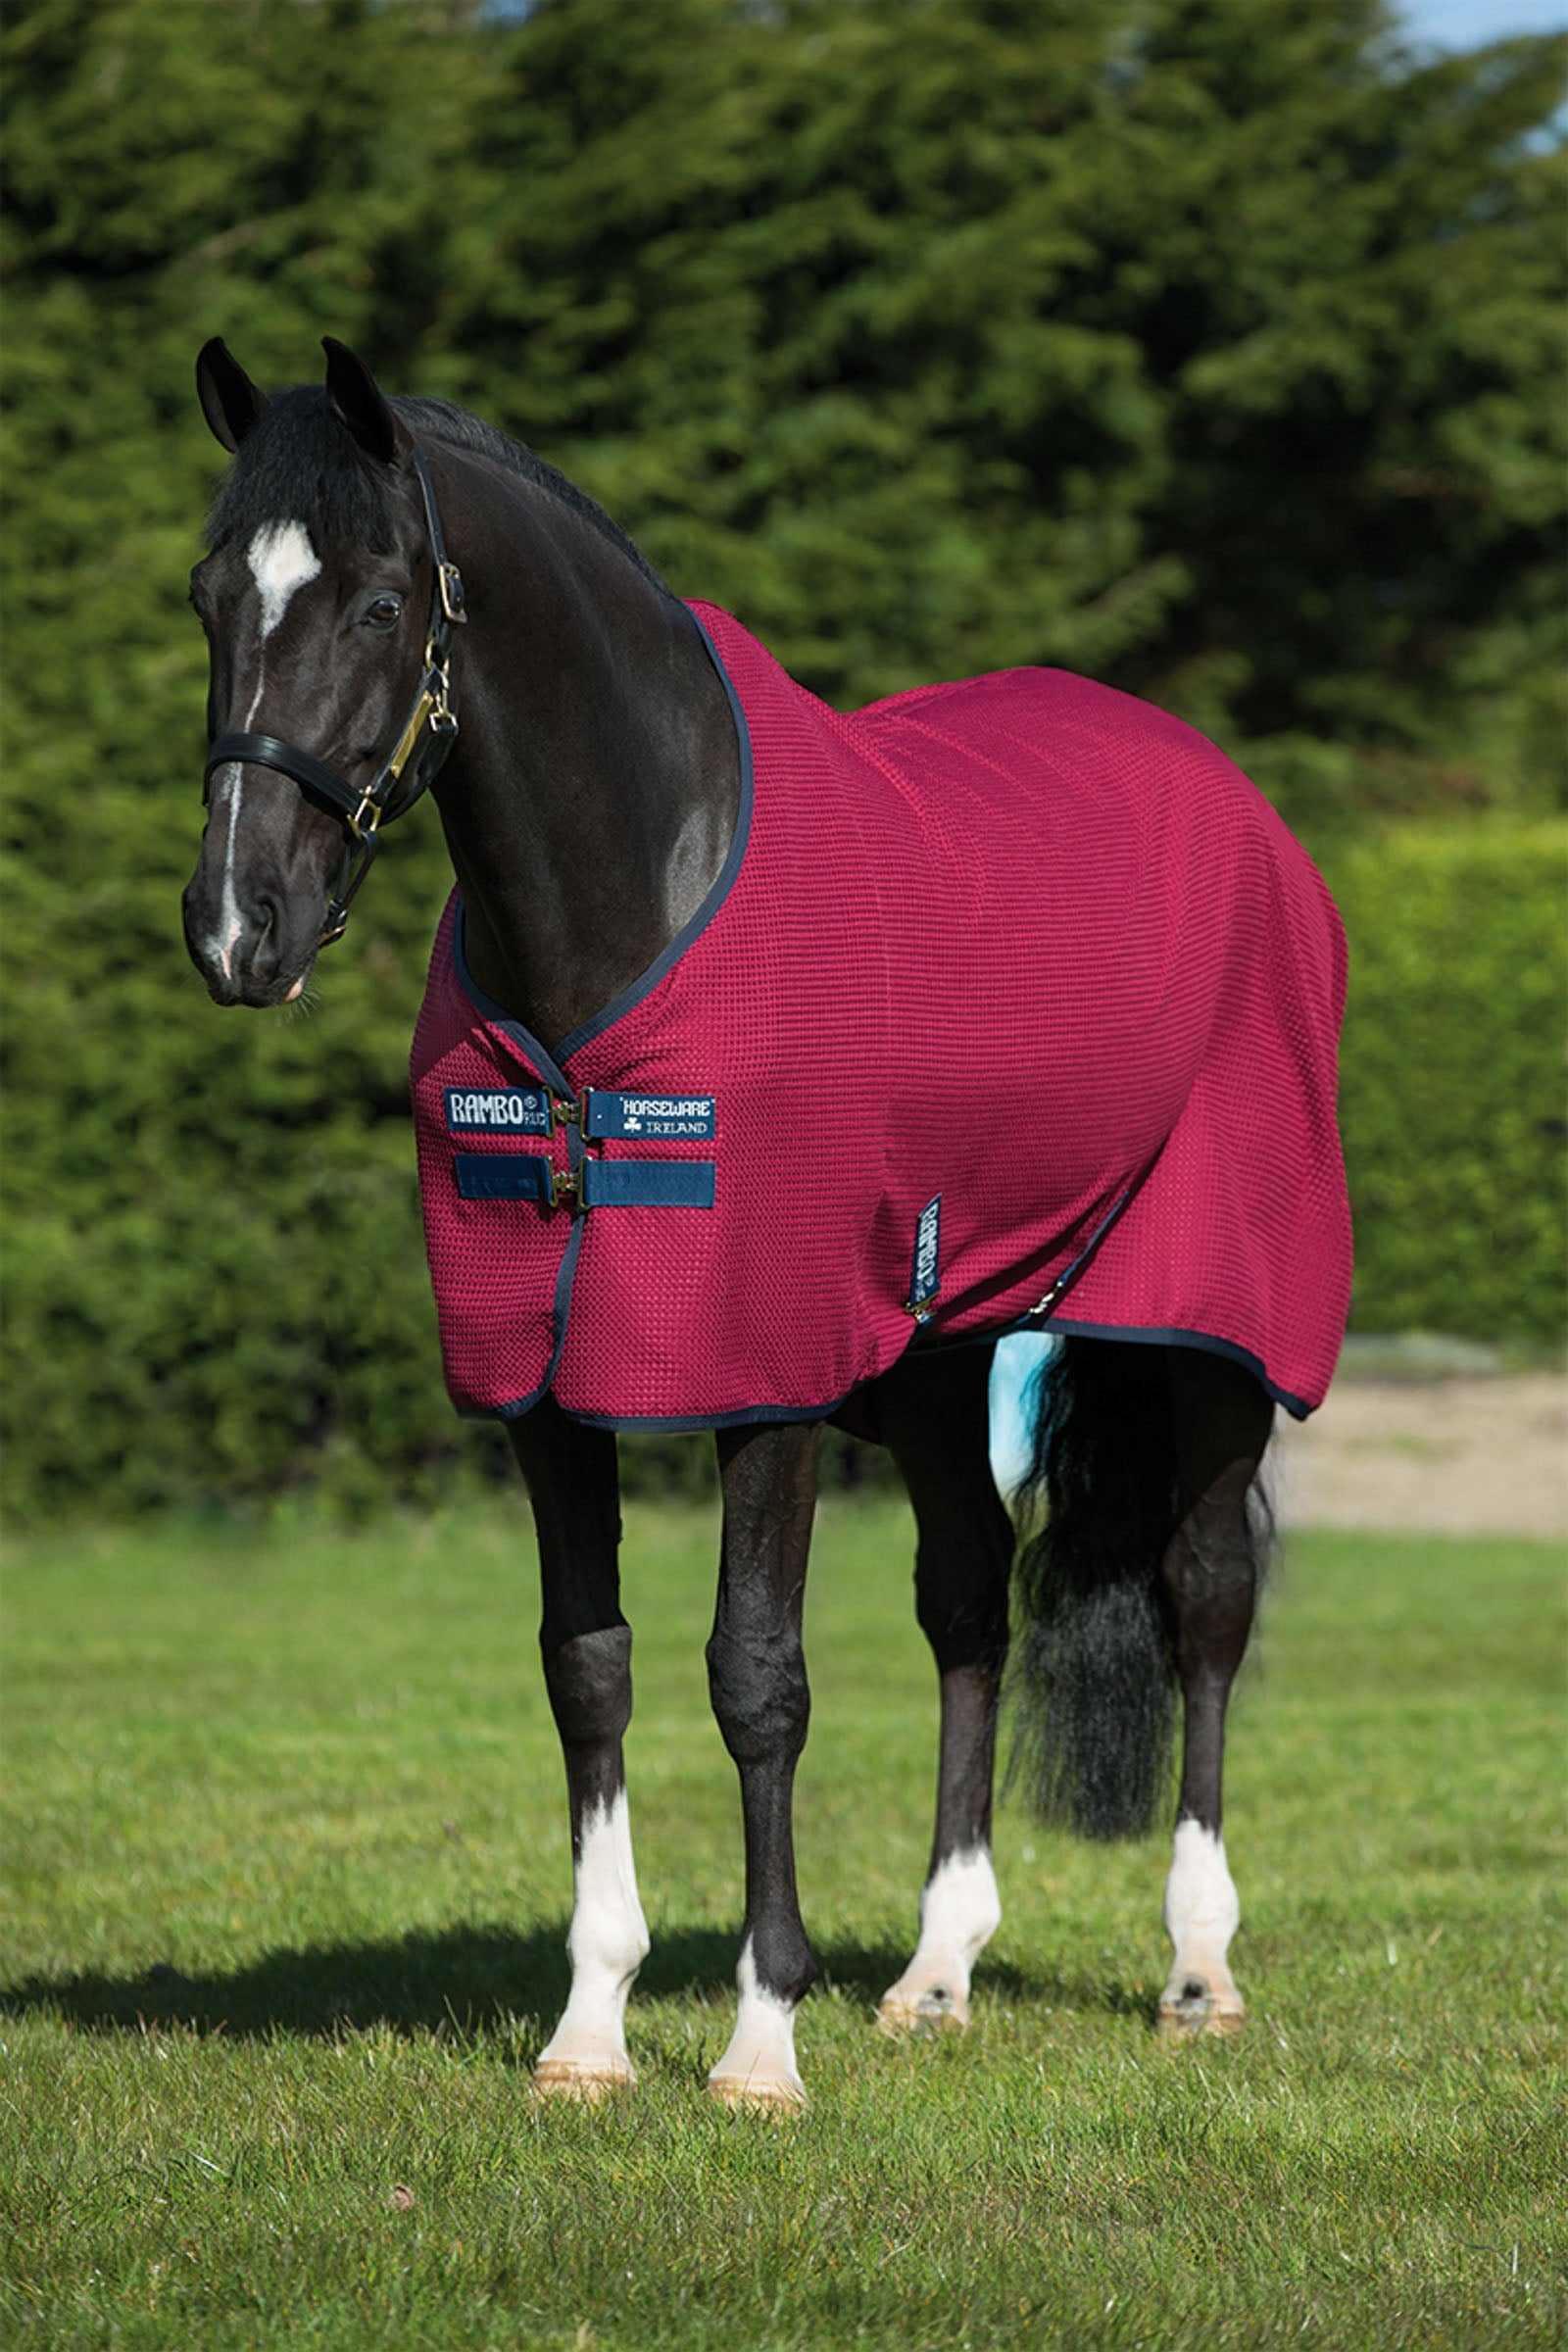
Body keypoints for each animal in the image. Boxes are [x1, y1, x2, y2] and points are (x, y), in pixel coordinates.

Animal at [181, 337, 1350, 2109]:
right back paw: (936, 1973)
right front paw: (591, 2029)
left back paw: (1199, 1969)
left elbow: (757, 1679)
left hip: (1212, 1325)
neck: (626, 920)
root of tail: (1231, 793)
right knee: (968, 1602)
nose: (237, 928)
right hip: (941, 1354)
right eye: (206, 599)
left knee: (1206, 1600)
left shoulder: (766, 1374)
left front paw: (759, 2038)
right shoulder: (545, 1378)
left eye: (380, 605)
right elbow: (586, 1664)